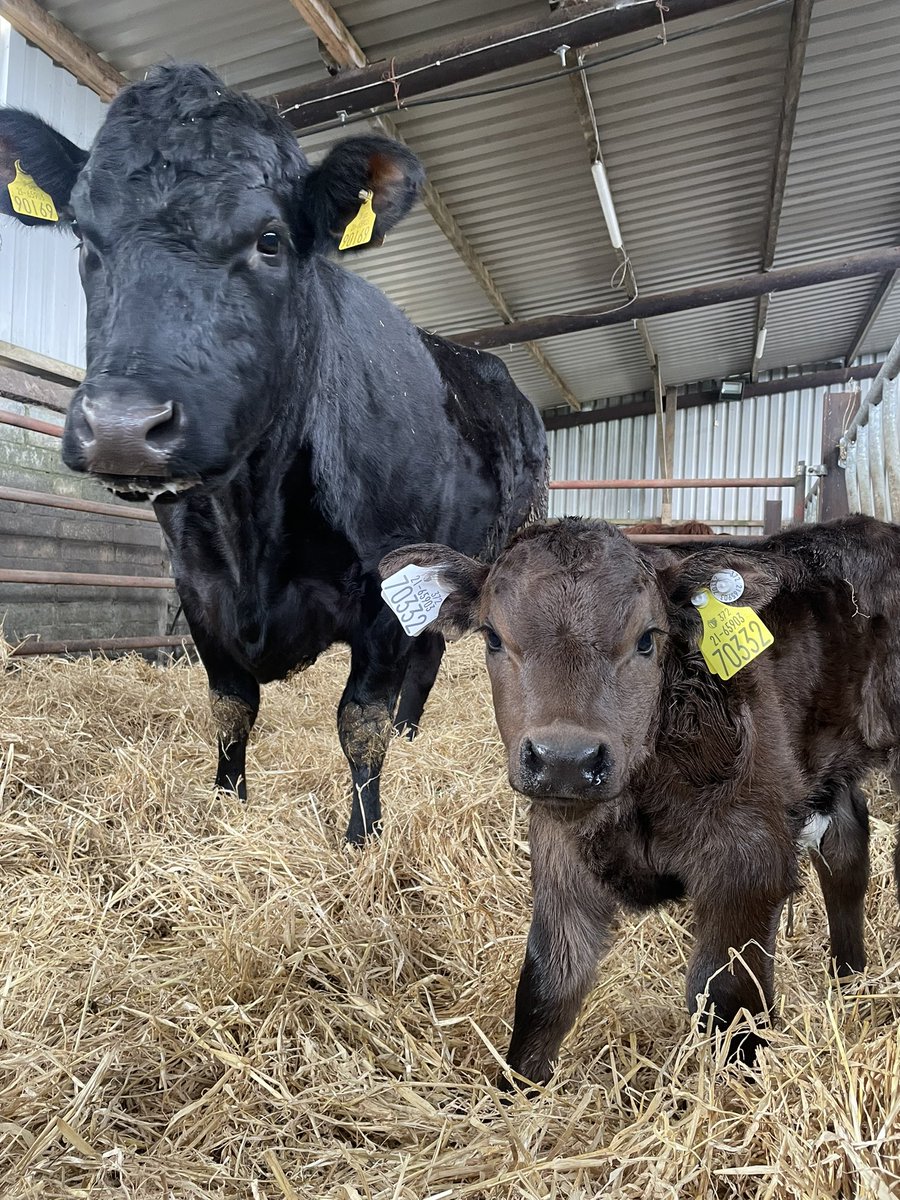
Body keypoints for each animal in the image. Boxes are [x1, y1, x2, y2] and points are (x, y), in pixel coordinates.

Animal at [1, 65, 549, 844]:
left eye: (270, 239)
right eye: (81, 235)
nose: (122, 426)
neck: (250, 519)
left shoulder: (389, 587)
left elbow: (360, 721)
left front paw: (362, 836)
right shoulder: (197, 586)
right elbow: (231, 707)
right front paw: (226, 806)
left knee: (433, 655)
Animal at [381, 520, 900, 1084]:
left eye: (648, 639)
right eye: (494, 637)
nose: (565, 760)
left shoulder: (750, 860)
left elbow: (727, 999)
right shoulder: (559, 852)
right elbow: (547, 985)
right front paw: (514, 1095)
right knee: (846, 845)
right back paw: (849, 977)